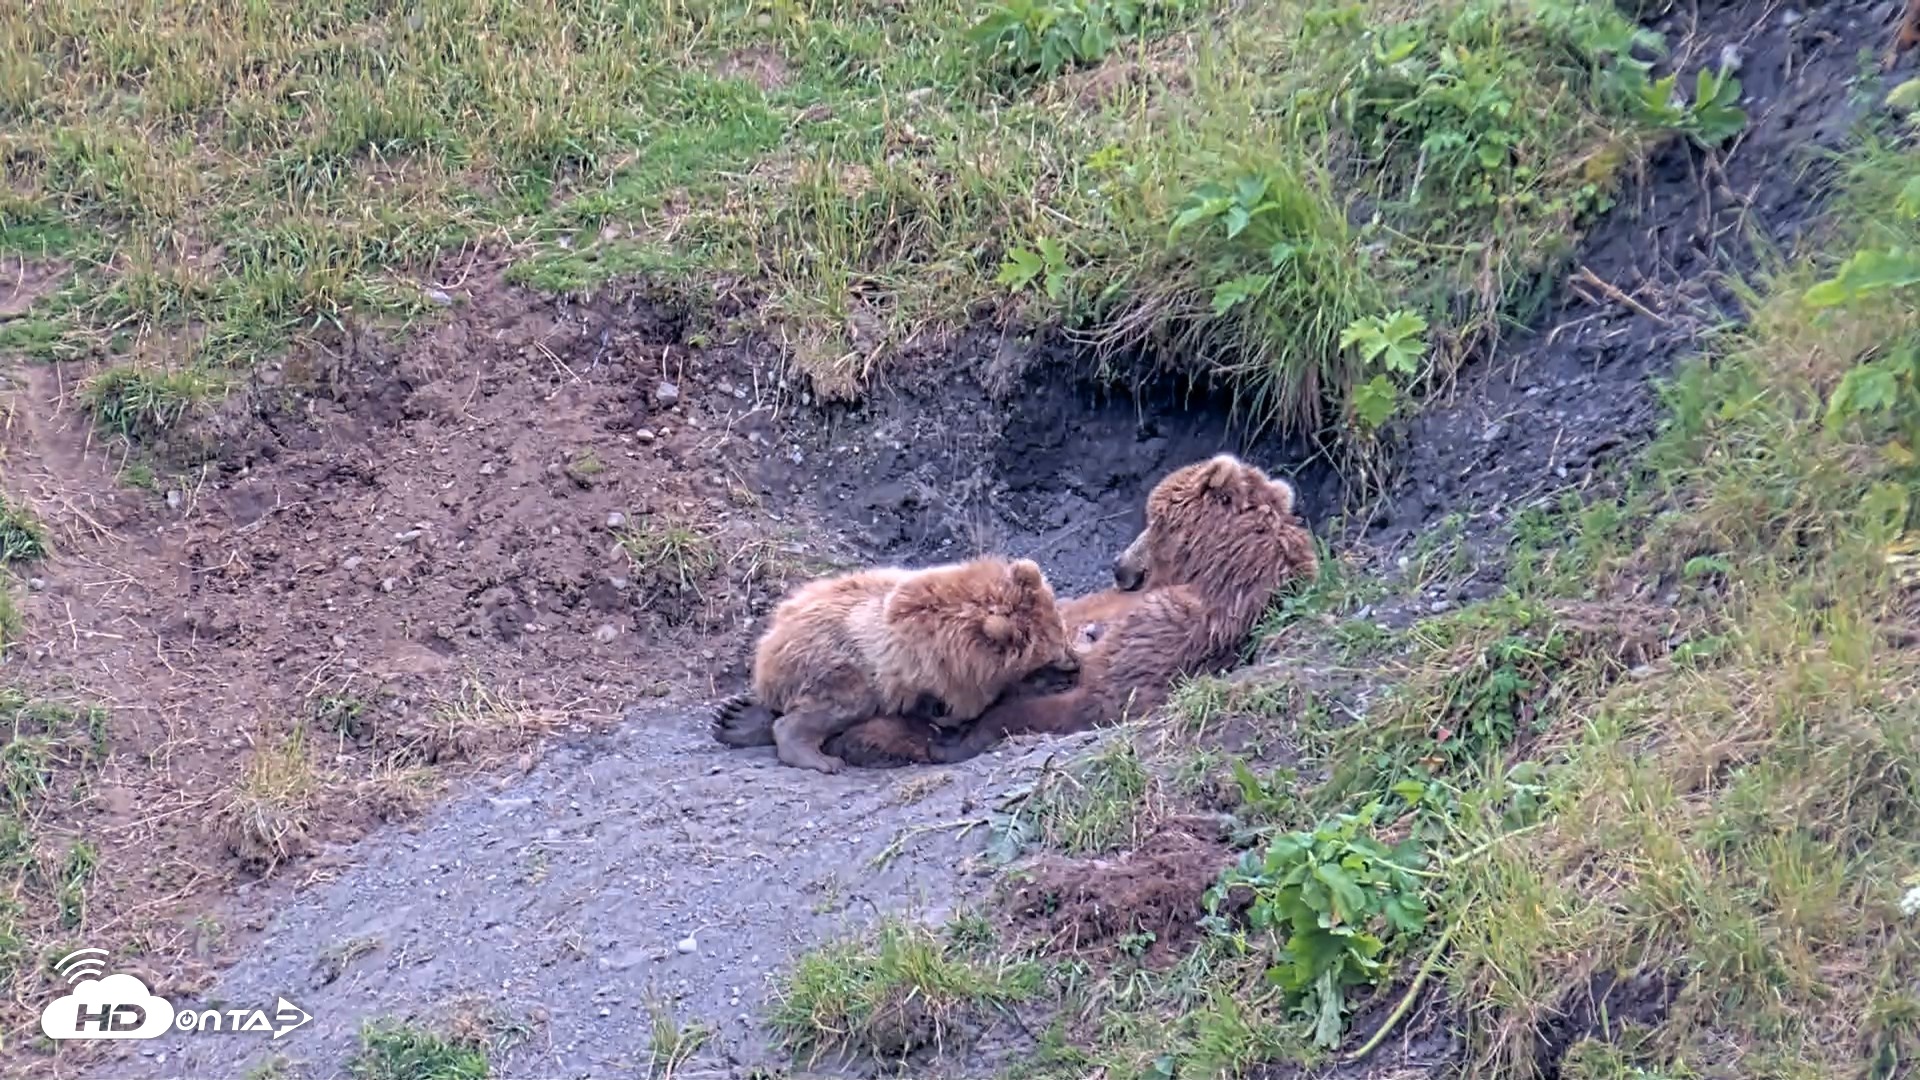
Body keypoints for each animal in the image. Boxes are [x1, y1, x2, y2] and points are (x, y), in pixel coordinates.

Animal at [709, 556, 1082, 774]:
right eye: (1052, 654)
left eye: (1062, 634)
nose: (1074, 664)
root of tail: (768, 647)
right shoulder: (942, 672)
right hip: (831, 663)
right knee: (839, 704)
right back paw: (817, 757)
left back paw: (735, 718)